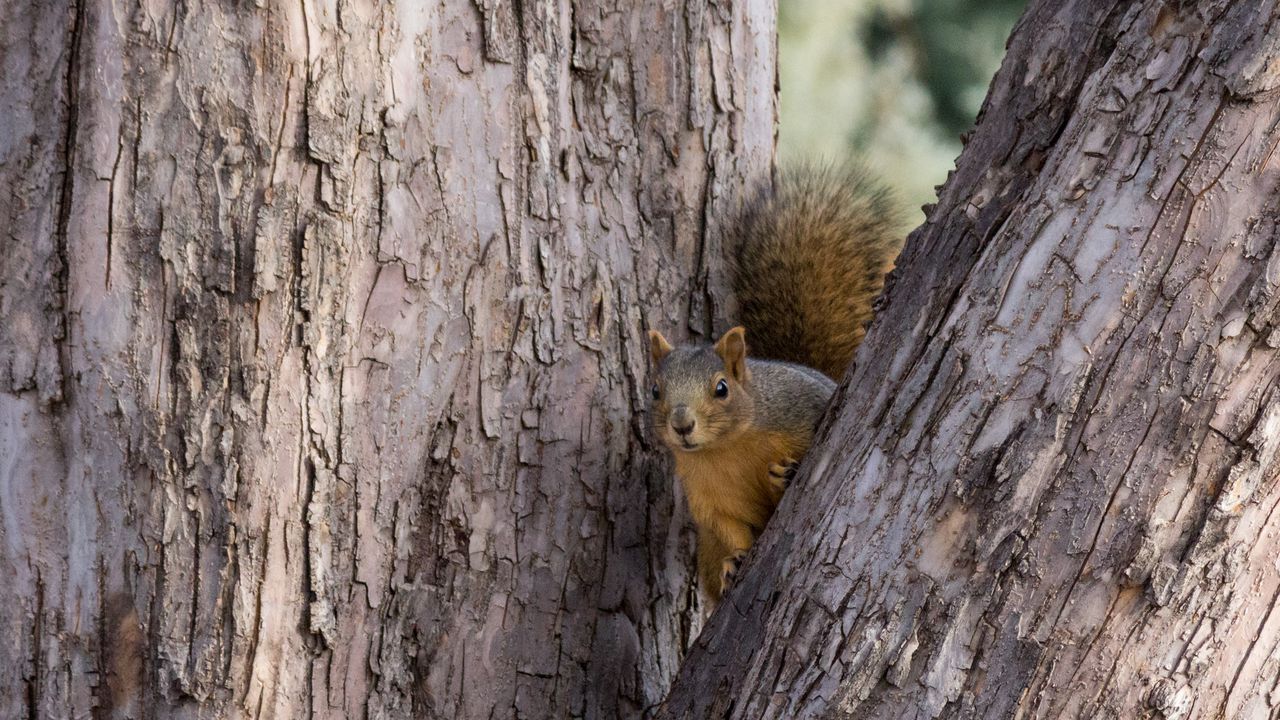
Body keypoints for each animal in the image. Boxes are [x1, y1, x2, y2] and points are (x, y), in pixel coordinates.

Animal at [650, 162, 901, 599]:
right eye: (655, 391)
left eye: (721, 388)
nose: (681, 425)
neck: (726, 448)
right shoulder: (706, 495)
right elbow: (728, 527)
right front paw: (735, 562)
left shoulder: (801, 410)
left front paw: (787, 476)